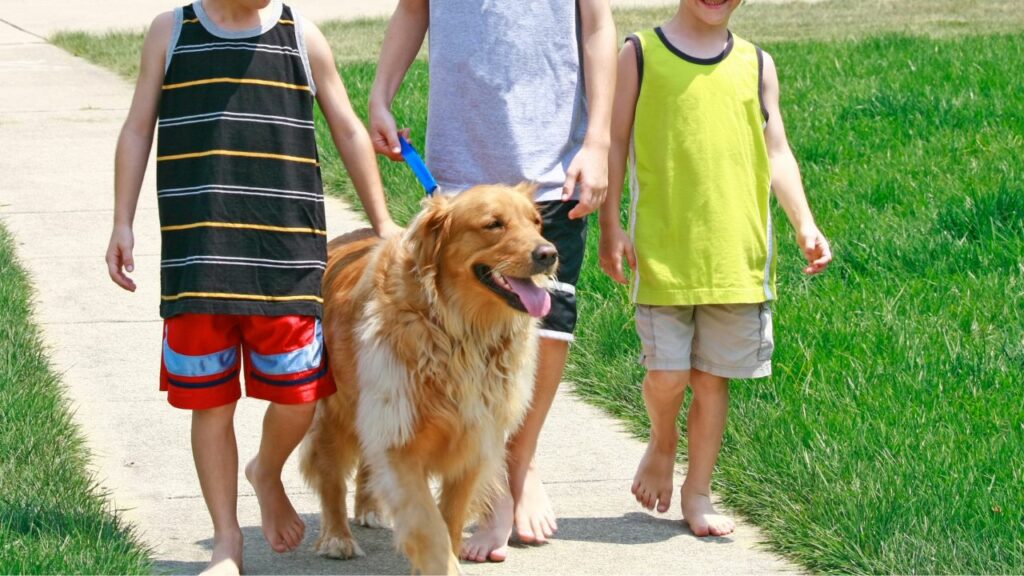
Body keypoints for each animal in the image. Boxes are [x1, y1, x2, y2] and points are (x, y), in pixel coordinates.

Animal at [299, 182, 561, 569]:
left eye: (536, 222)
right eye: (493, 224)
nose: (549, 253)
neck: (458, 330)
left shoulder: (474, 442)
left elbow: (450, 520)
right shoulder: (399, 436)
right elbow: (429, 527)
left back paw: (368, 507)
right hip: (338, 409)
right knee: (330, 472)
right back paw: (337, 537)